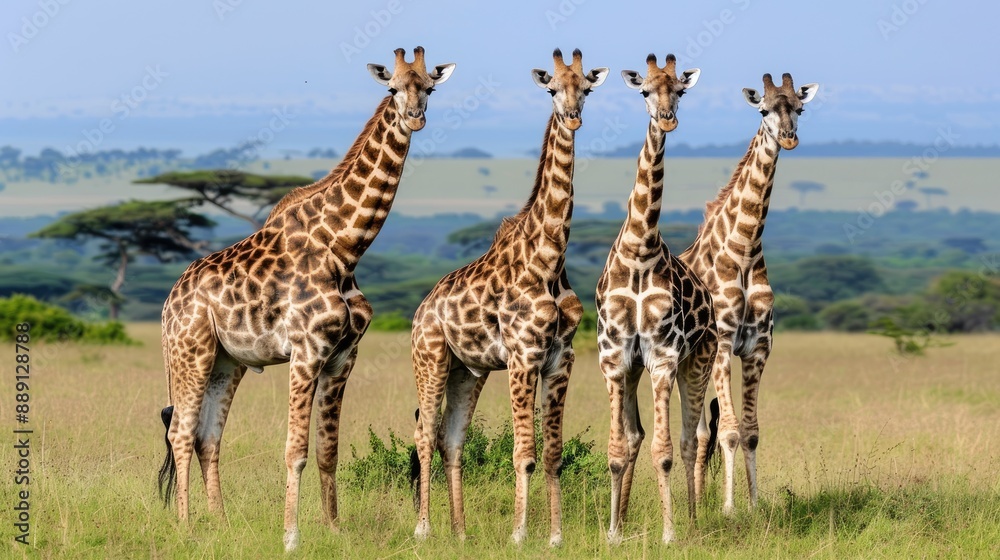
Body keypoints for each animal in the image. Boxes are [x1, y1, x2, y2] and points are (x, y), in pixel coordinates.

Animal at [155, 47, 454, 552]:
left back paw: (221, 523)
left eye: (430, 88)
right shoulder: (306, 351)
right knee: (179, 431)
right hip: (190, 351)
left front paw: (334, 528)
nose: (415, 117)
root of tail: (168, 302)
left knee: (207, 437)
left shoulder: (343, 356)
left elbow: (327, 450)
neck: (344, 247)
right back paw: (186, 527)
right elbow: (294, 450)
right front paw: (291, 537)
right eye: (393, 88)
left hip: (227, 361)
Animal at [409, 48, 608, 546]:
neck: (549, 260)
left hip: (468, 371)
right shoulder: (522, 356)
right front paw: (520, 534)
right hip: (431, 359)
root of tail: (420, 311)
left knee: (451, 440)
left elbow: (553, 453)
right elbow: (525, 453)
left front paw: (555, 536)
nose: (573, 117)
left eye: (586, 88)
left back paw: (460, 533)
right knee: (424, 435)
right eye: (552, 89)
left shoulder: (560, 359)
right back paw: (423, 529)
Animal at [679, 73, 819, 513]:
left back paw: (698, 498)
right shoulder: (723, 346)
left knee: (701, 430)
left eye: (800, 107)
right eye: (763, 110)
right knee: (697, 430)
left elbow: (752, 430)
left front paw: (754, 506)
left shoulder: (758, 348)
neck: (743, 249)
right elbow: (730, 431)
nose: (789, 138)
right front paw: (728, 509)